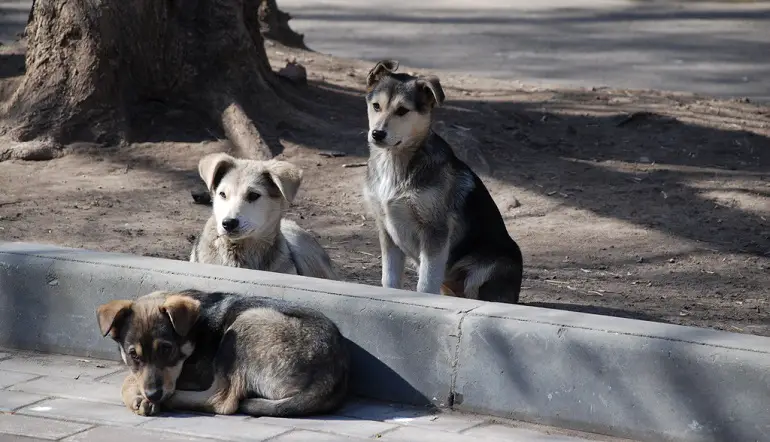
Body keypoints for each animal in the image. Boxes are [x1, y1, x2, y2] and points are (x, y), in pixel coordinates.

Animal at [97, 290, 350, 418]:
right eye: (134, 355)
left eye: (167, 349)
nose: (153, 395)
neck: (194, 332)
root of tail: (329, 377)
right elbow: (132, 376)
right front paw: (140, 396)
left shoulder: (196, 373)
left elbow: (128, 380)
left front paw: (139, 397)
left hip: (246, 323)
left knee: (223, 400)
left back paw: (171, 401)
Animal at [360, 59, 520, 304]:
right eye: (376, 106)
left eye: (402, 111)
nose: (377, 134)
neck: (395, 162)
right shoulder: (386, 231)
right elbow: (389, 279)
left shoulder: (435, 231)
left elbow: (426, 284)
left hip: (487, 267)